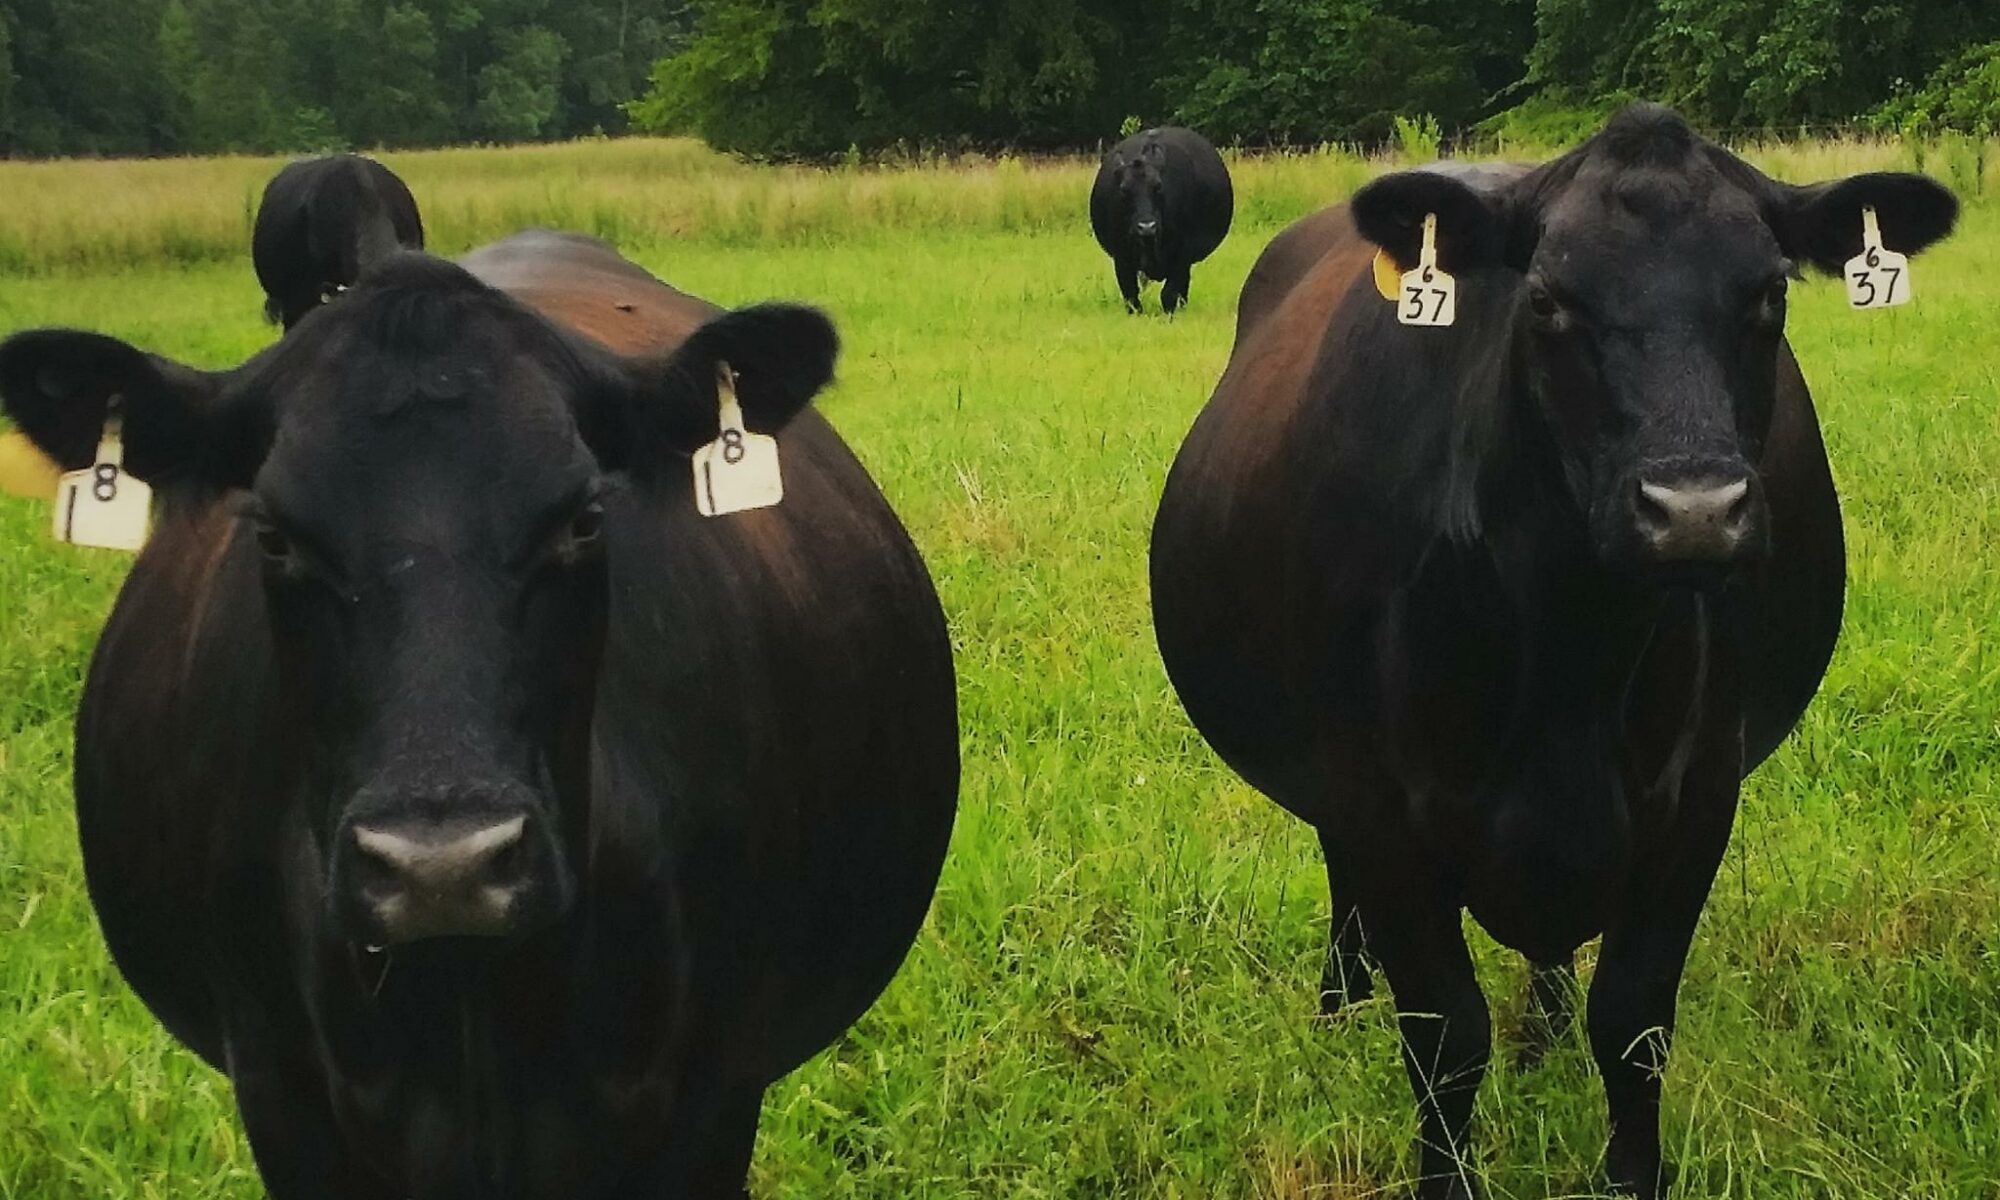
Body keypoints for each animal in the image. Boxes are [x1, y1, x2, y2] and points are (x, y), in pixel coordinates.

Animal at [1089, 126, 1233, 314]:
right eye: (1124, 190)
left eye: (1158, 186)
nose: (1147, 227)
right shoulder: (1121, 256)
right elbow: (1130, 295)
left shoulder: (1183, 253)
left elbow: (1170, 293)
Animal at [1149, 104, 1957, 1199]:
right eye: (1546, 300)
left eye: (1770, 291)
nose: (1692, 509)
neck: (1569, 659)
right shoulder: (1375, 802)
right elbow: (1444, 1037)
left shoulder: (1696, 794)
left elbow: (1633, 1026)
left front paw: (1627, 1170)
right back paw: (1339, 1006)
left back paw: (1545, 1029)